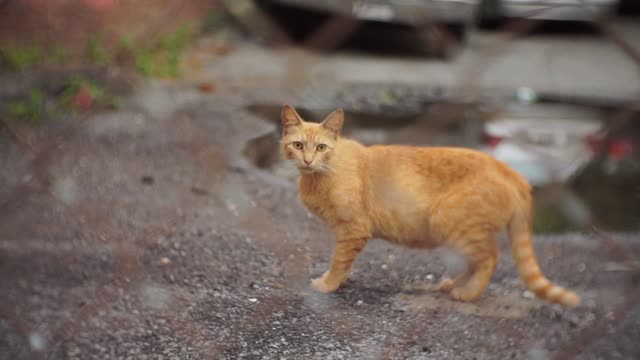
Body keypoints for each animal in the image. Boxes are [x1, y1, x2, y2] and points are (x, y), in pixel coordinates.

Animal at [280, 104, 580, 306]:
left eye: (321, 148)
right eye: (298, 145)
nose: (307, 160)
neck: (321, 175)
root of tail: (511, 172)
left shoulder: (353, 229)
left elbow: (339, 261)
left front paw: (329, 284)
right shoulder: (347, 233)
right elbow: (344, 262)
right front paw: (339, 280)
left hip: (450, 221)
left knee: (490, 258)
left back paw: (468, 293)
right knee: (476, 261)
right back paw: (453, 285)